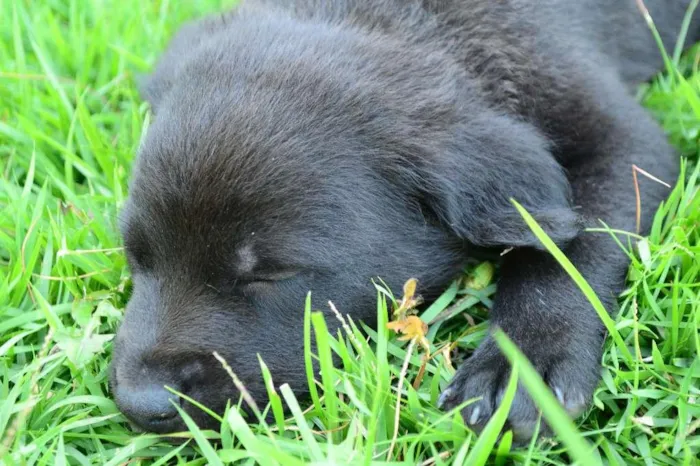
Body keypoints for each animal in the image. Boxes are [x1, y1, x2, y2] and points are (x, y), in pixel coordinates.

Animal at [109, 0, 696, 440]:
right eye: (137, 255)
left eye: (271, 275)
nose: (140, 403)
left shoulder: (621, 138)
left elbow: (569, 248)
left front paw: (521, 363)